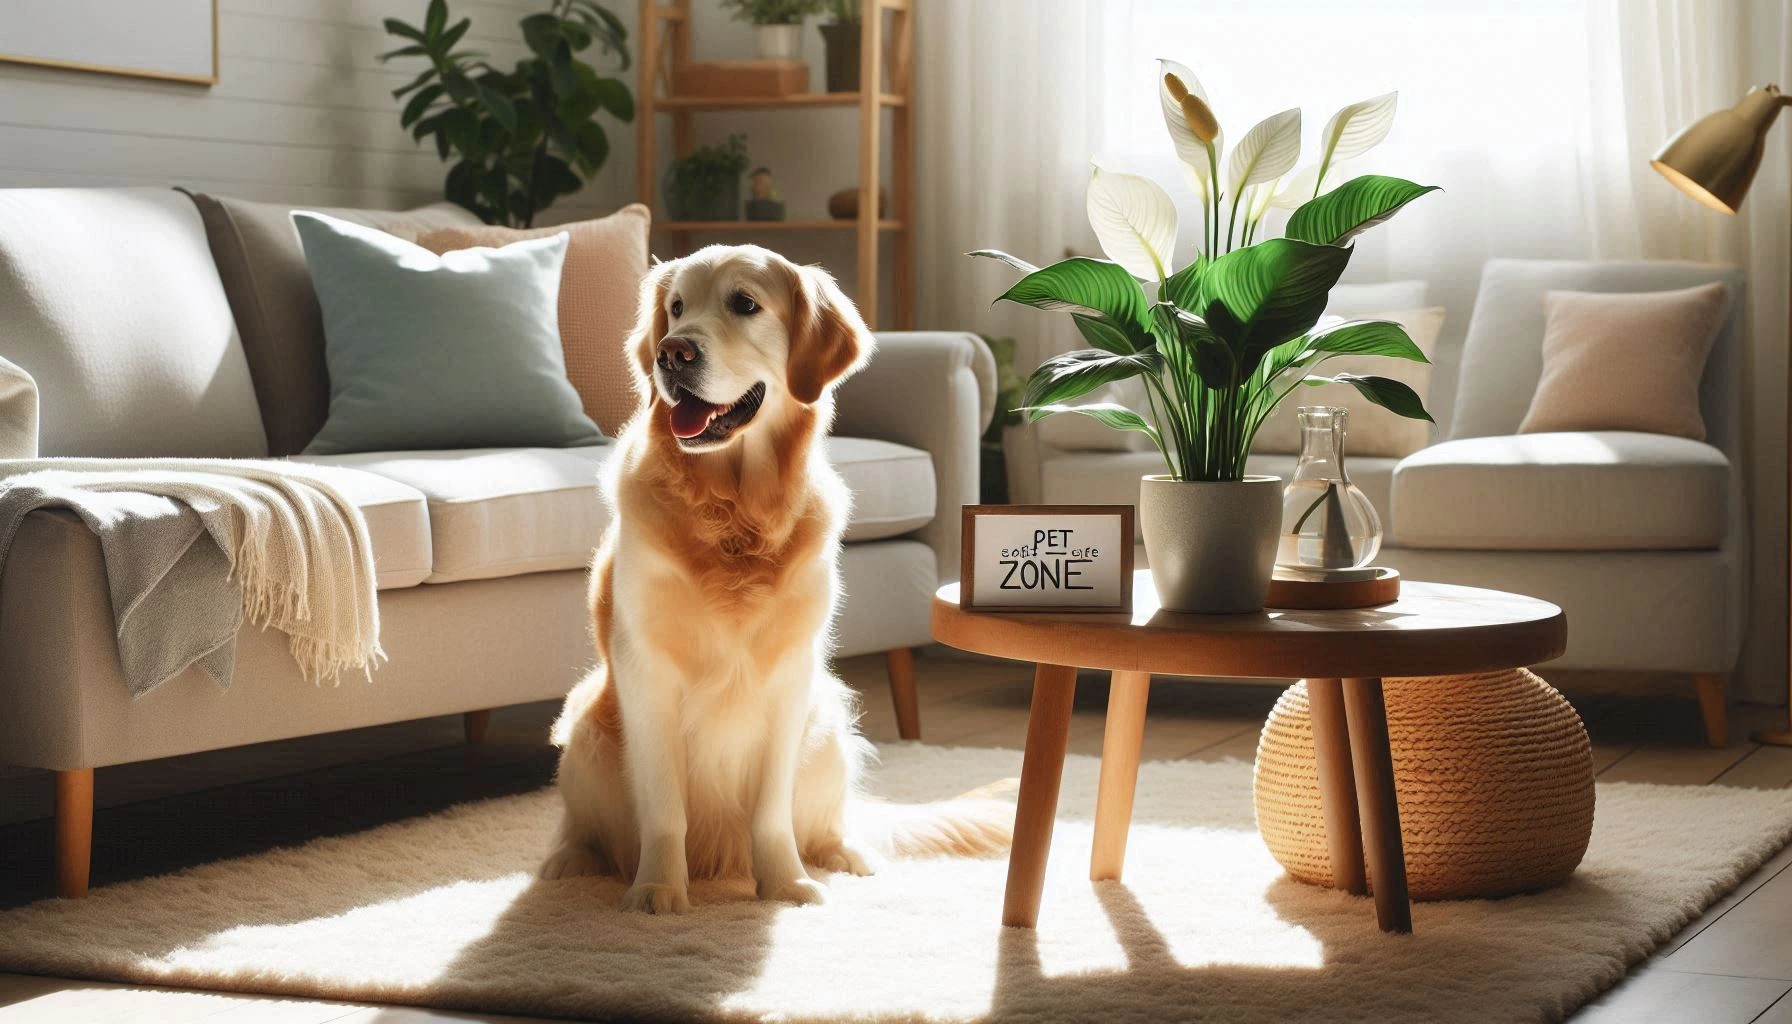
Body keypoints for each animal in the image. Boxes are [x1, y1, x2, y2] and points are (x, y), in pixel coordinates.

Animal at [537, 245, 1017, 914]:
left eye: (745, 304)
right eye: (676, 308)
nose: (672, 353)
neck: (734, 513)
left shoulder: (791, 676)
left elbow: (772, 812)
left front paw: (786, 883)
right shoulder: (646, 672)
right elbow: (664, 809)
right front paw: (659, 888)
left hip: (830, 722)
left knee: (828, 823)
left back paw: (845, 854)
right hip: (586, 726)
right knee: (584, 827)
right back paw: (570, 861)